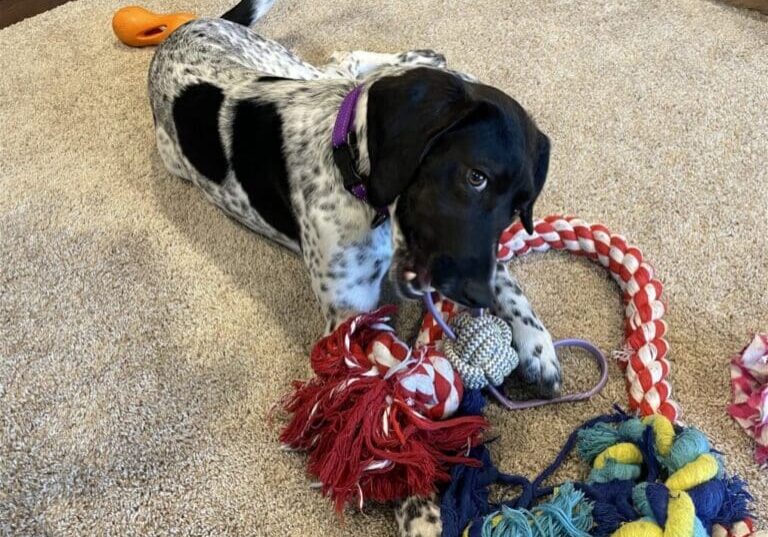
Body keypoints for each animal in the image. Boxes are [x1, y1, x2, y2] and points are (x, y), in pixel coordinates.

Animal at [147, 2, 560, 532]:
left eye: (519, 207)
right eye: (476, 177)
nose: (475, 299)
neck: (354, 174)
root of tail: (183, 28)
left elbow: (507, 280)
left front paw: (537, 345)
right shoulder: (350, 318)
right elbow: (385, 400)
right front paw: (416, 499)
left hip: (292, 69)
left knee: (350, 65)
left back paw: (428, 58)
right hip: (182, 152)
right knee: (349, 65)